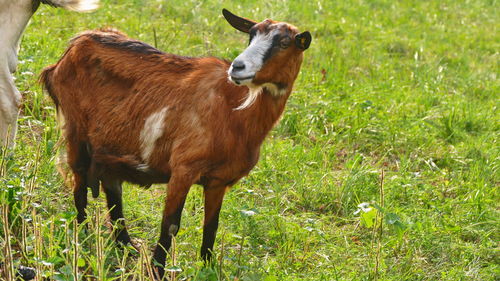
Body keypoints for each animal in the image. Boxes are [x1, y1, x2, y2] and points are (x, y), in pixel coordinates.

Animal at [40, 9, 312, 278]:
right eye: (251, 35)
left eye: (285, 43)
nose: (238, 67)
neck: (233, 110)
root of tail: (72, 48)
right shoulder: (184, 168)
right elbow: (170, 223)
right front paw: (157, 270)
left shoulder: (218, 180)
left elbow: (211, 225)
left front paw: (207, 267)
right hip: (75, 130)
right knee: (79, 185)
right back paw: (83, 238)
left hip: (108, 145)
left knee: (112, 190)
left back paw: (126, 245)